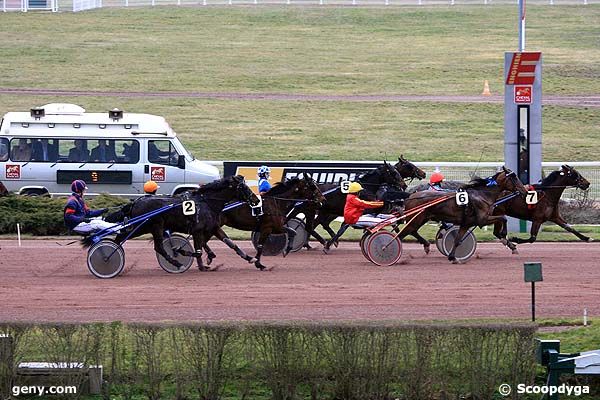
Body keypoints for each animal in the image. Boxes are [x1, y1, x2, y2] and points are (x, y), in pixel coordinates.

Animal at [88, 177, 258, 270]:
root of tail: (136, 201)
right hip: (152, 226)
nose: (256, 199)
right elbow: (197, 251)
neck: (206, 202)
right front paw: (184, 254)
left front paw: (251, 258)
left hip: (144, 228)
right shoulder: (197, 230)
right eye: (244, 187)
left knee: (120, 238)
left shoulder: (213, 227)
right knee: (157, 247)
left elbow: (231, 243)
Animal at [400, 166, 528, 262]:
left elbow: (457, 240)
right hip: (416, 219)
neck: (482, 195)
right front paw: (506, 238)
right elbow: (503, 218)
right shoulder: (482, 219)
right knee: (402, 234)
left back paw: (425, 246)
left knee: (412, 231)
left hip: (421, 219)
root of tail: (410, 196)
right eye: (514, 178)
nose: (525, 191)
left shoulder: (466, 223)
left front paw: (452, 257)